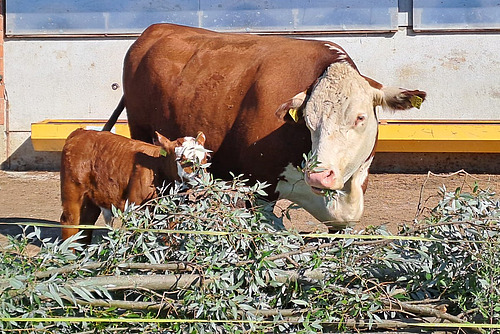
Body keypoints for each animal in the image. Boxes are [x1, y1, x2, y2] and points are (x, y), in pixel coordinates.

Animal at [60, 129, 207, 243]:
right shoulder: (135, 207)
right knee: (70, 222)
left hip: (92, 199)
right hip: (73, 192)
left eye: (206, 158)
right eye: (181, 159)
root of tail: (80, 132)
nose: (201, 176)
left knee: (86, 225)